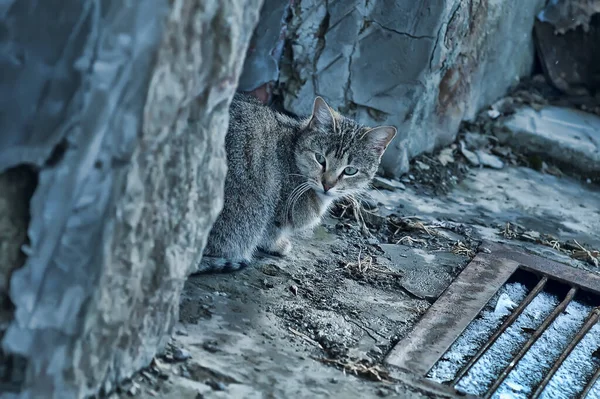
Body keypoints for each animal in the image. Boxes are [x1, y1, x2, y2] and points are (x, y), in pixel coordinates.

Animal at [198, 93, 398, 276]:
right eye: (320, 158)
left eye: (350, 171)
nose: (327, 184)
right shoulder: (275, 209)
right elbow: (270, 230)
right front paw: (277, 245)